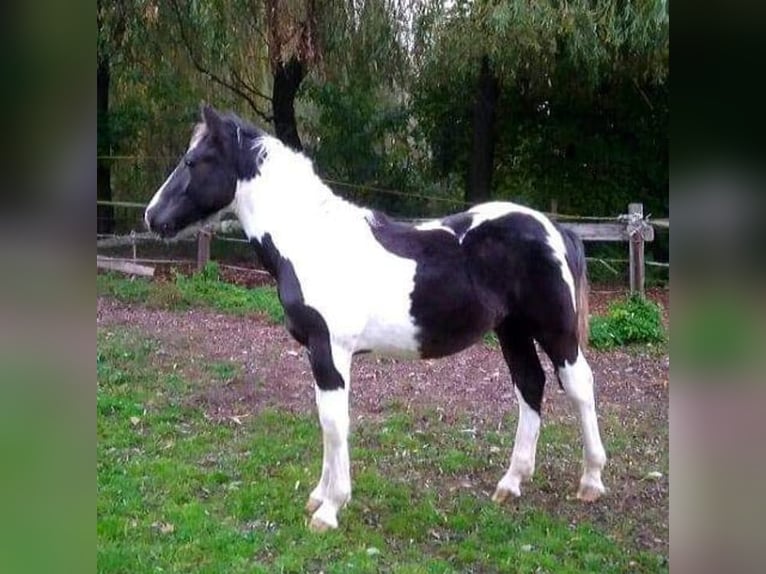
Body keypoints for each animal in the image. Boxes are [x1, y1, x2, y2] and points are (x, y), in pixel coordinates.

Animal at [147, 106, 608, 532]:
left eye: (193, 161)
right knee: (530, 385)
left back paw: (591, 481)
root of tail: (556, 229)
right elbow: (325, 419)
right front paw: (318, 496)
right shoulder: (318, 353)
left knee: (579, 385)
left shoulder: (330, 350)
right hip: (511, 329)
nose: (152, 217)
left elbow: (334, 423)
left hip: (555, 331)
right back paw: (510, 483)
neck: (312, 240)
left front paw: (330, 509)